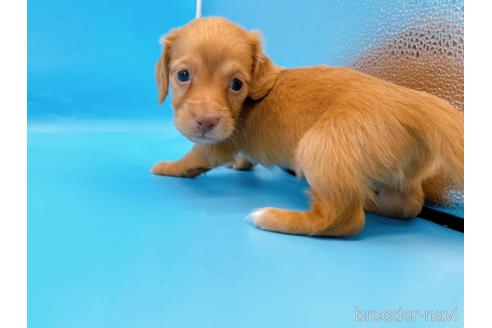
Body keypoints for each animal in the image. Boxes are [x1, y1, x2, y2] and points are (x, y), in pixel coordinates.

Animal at [152, 17, 464, 236]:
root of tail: (413, 103)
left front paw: (166, 167)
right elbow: (243, 156)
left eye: (237, 84)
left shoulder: (218, 143)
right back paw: (371, 201)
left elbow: (192, 158)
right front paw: (240, 164)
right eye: (183, 75)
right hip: (400, 175)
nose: (206, 122)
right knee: (409, 206)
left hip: (318, 147)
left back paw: (275, 218)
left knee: (343, 218)